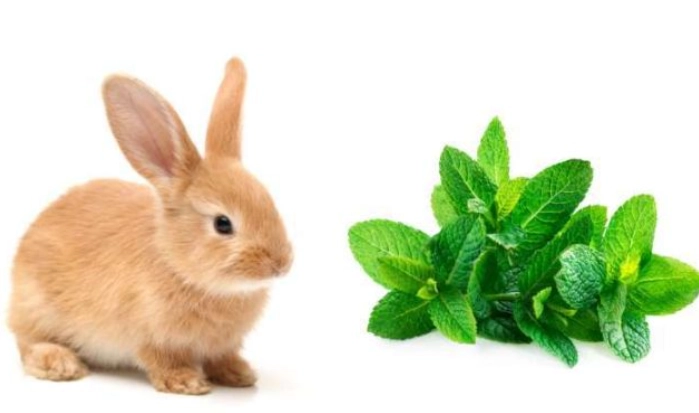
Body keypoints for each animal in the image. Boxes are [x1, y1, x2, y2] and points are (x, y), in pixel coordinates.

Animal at [7, 57, 293, 395]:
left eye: (269, 202)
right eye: (223, 224)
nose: (281, 264)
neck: (178, 264)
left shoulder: (222, 345)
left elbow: (222, 357)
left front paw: (239, 374)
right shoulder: (150, 335)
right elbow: (161, 359)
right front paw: (186, 382)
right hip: (36, 307)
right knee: (28, 342)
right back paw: (60, 363)